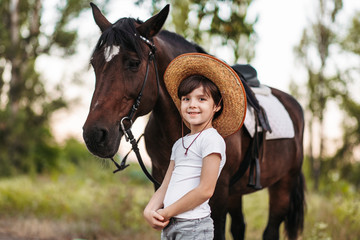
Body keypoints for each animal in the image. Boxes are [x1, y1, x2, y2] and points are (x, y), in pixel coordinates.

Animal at [83, 3, 306, 240]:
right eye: (94, 64)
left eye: (134, 63)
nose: (94, 135)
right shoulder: (162, 182)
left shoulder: (217, 193)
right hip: (236, 193)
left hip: (283, 185)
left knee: (270, 230)